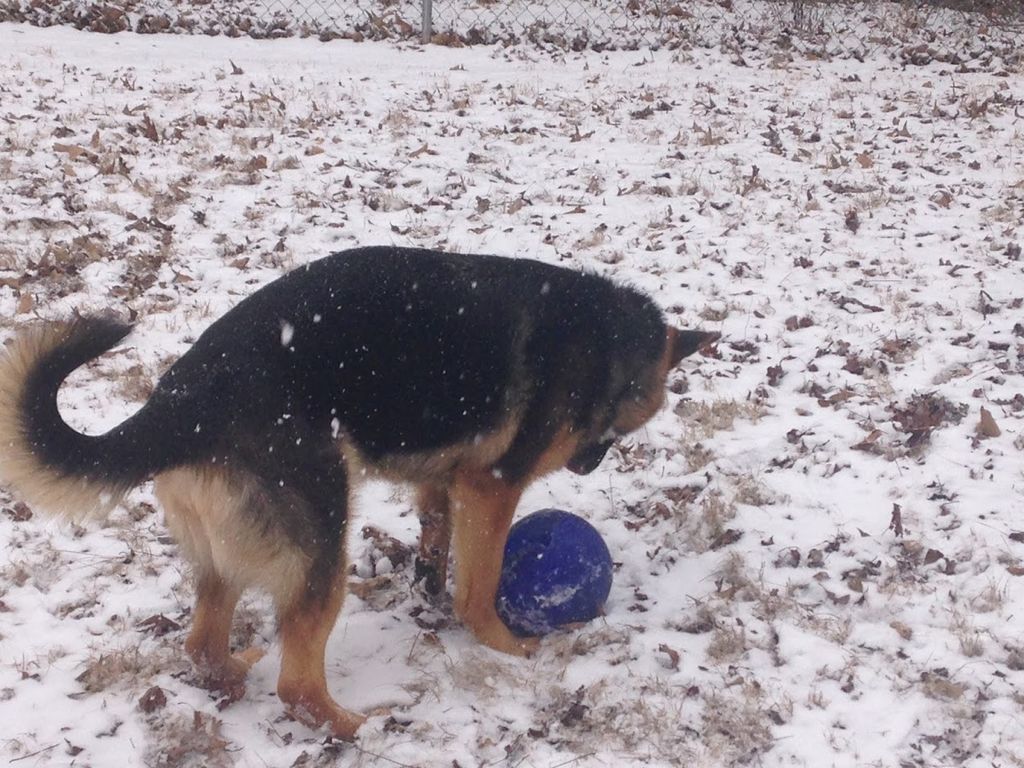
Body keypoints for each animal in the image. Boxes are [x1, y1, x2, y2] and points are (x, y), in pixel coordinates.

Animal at [0, 246, 720, 741]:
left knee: (202, 643)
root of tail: (176, 405)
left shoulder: (444, 482)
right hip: (322, 539)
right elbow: (480, 585)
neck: (603, 338)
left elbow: (436, 538)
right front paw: (506, 645)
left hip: (230, 551)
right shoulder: (491, 488)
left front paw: (428, 589)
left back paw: (235, 671)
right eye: (616, 431)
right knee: (295, 684)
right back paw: (362, 727)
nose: (587, 467)